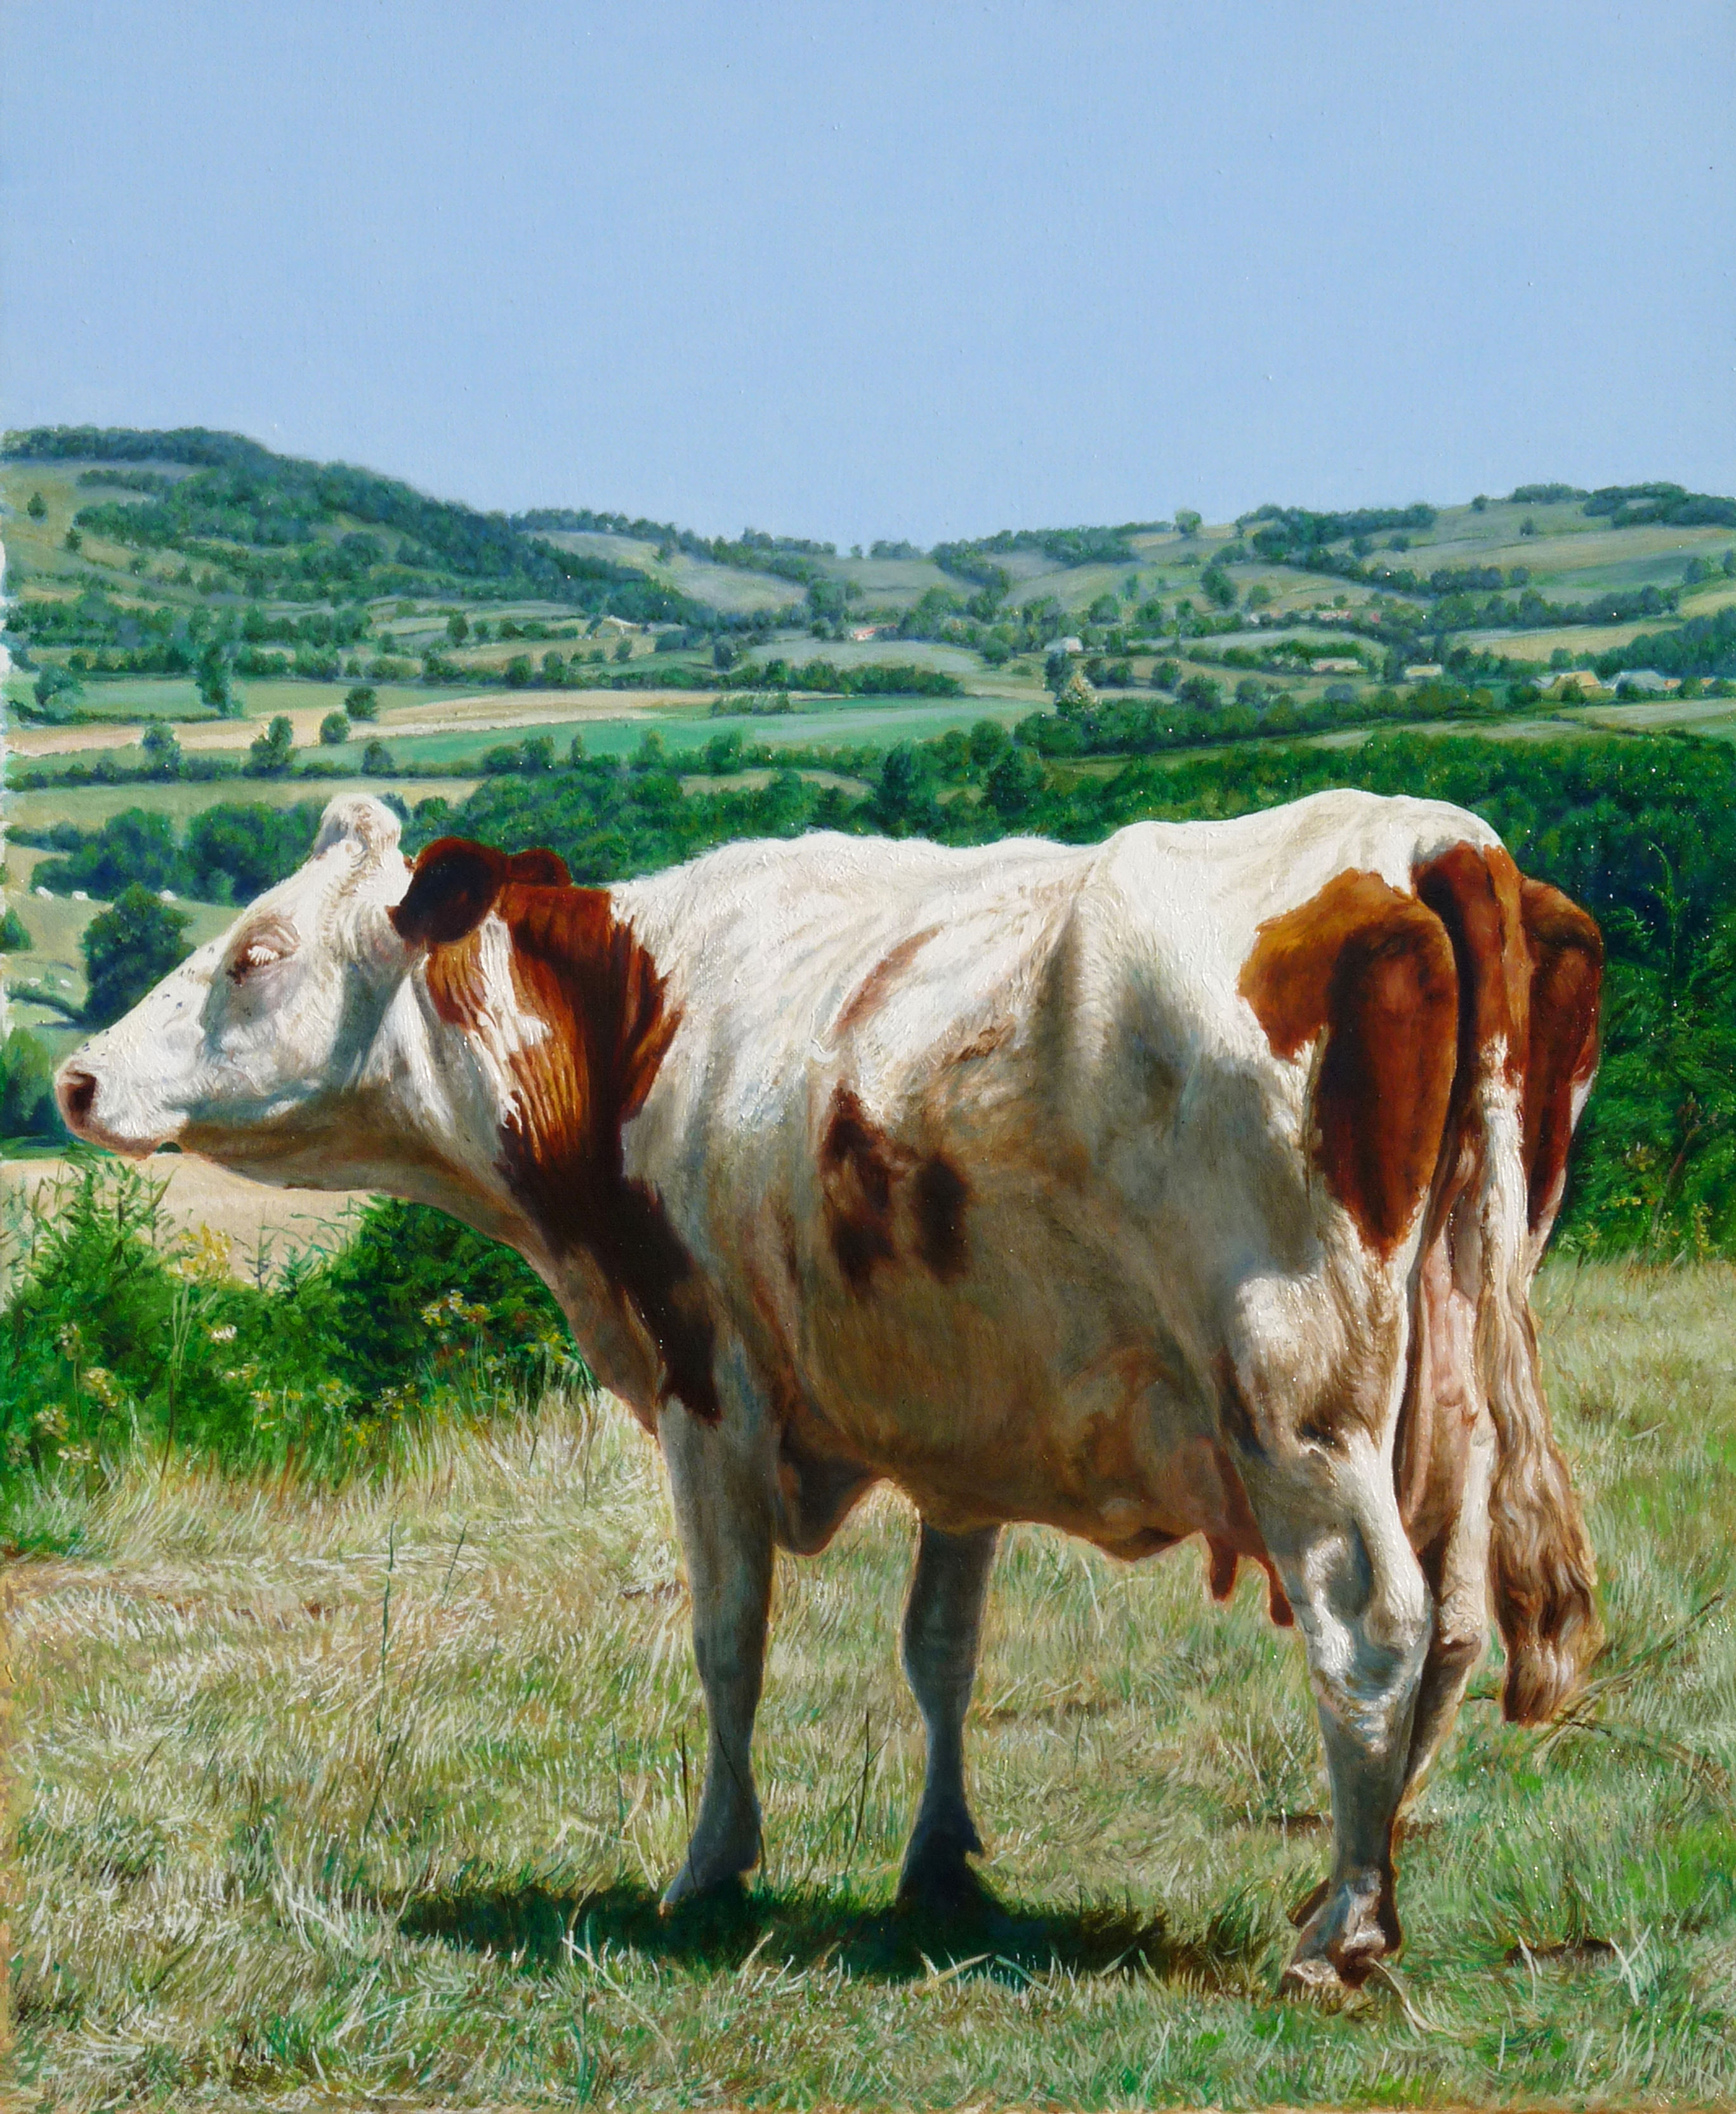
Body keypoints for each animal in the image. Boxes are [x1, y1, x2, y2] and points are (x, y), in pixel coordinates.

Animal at [55, 787, 1604, 1996]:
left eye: (255, 952)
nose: (73, 1078)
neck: (634, 1015)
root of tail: (1428, 841)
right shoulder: (968, 1411)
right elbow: (941, 1649)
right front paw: (939, 1867)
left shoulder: (710, 1383)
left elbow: (729, 1639)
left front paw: (711, 1867)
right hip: (1450, 1372)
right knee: (1453, 1621)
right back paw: (1358, 1883)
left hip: (1295, 1390)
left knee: (1374, 1619)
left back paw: (1342, 1931)